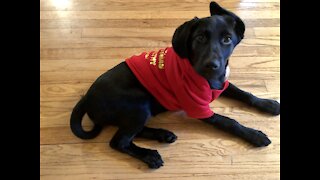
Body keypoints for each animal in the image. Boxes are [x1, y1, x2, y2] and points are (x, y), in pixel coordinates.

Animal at [70, 1, 280, 169]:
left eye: (227, 39)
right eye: (200, 38)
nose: (211, 65)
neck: (207, 78)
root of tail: (86, 98)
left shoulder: (221, 82)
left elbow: (244, 93)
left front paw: (267, 104)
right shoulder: (198, 107)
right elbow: (229, 121)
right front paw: (253, 134)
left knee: (132, 132)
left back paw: (162, 134)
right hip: (139, 103)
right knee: (119, 142)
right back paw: (149, 155)